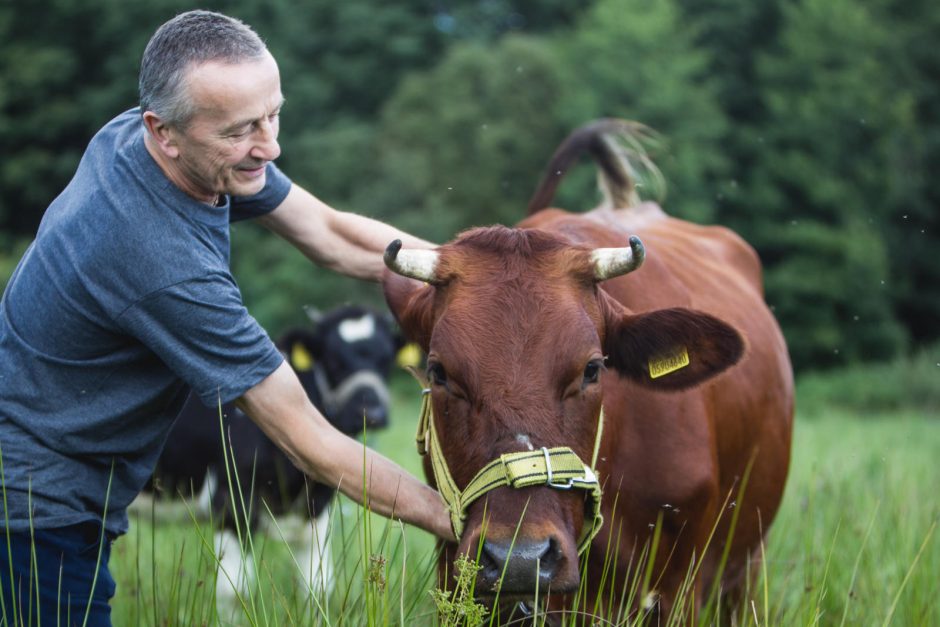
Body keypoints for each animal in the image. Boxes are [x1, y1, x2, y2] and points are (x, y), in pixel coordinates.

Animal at [148, 306, 408, 600]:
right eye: (333, 360)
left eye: (386, 360)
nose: (371, 413)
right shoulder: (231, 499)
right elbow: (234, 590)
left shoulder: (316, 507)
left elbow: (317, 585)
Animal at [382, 119, 792, 624]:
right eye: (439, 373)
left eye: (593, 369)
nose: (520, 558)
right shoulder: (455, 577)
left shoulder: (682, 587)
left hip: (746, 566)